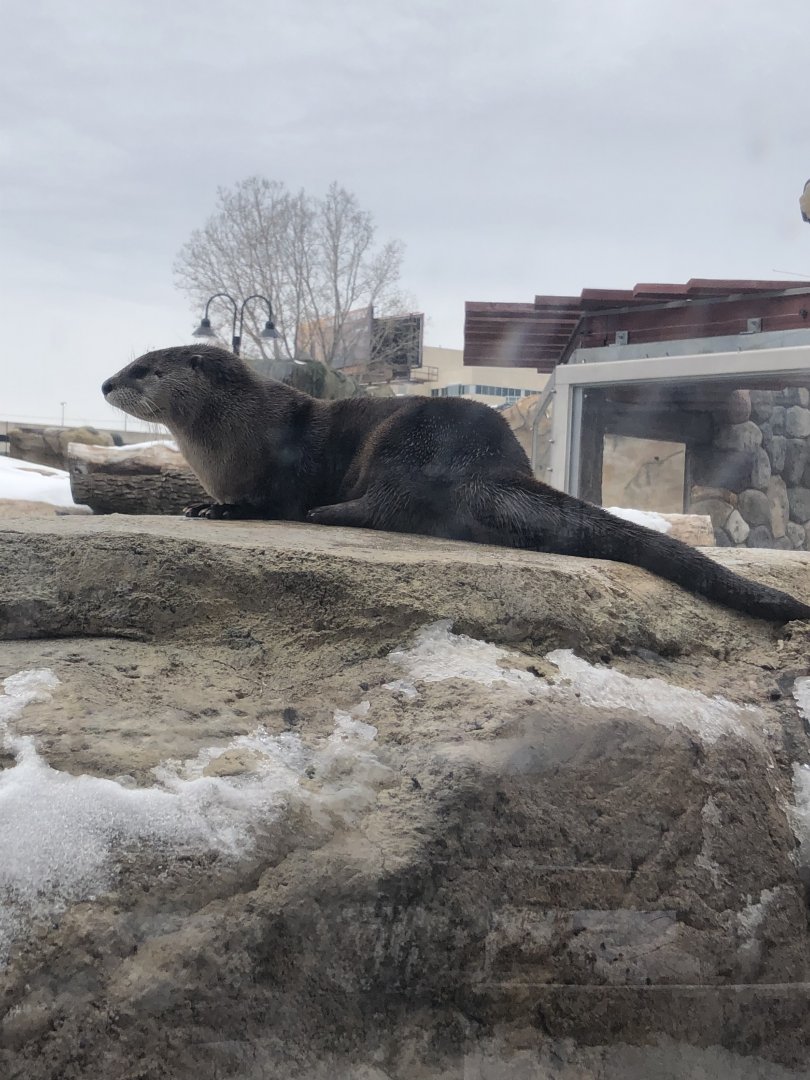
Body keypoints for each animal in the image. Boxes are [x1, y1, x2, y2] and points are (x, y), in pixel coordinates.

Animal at [102, 344, 810, 623]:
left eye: (143, 369)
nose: (106, 382)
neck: (233, 435)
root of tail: (487, 463)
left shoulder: (279, 466)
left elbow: (267, 501)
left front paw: (215, 511)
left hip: (401, 441)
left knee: (385, 505)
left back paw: (331, 512)